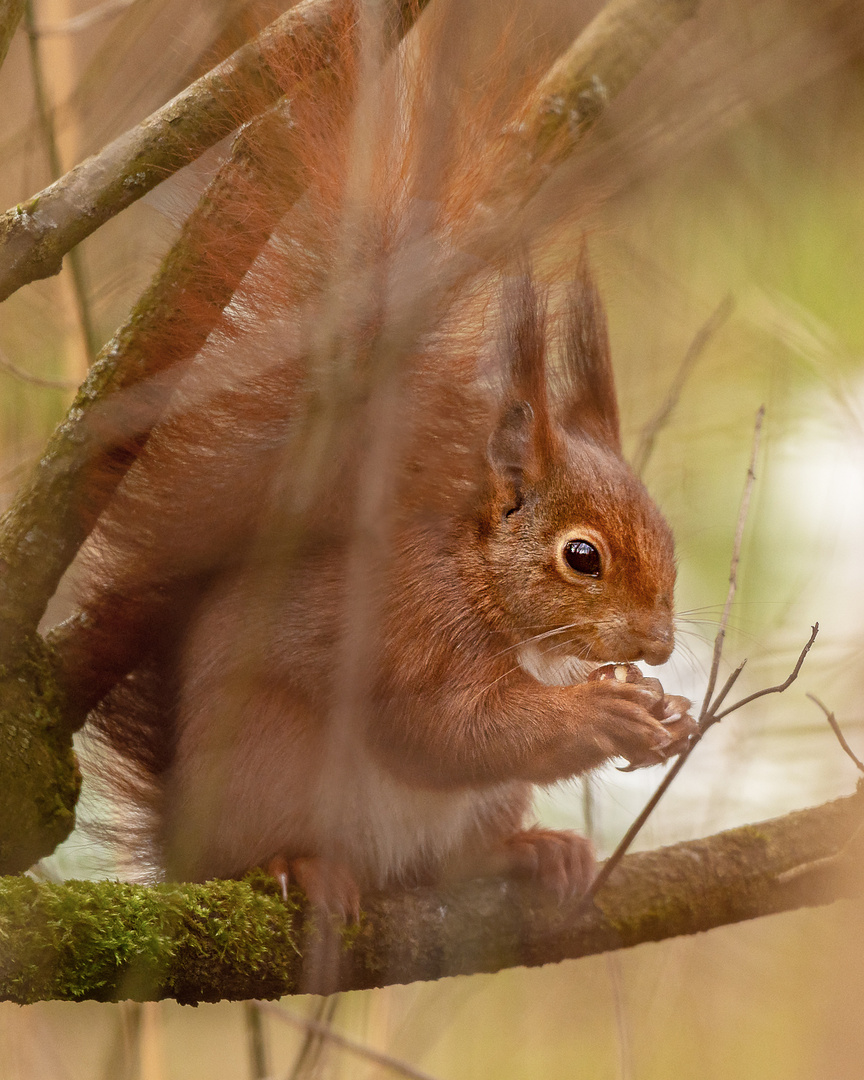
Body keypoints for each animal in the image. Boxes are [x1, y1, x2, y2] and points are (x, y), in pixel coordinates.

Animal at [54, 8, 699, 920]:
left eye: (667, 537)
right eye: (582, 557)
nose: (658, 644)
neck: (480, 583)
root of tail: (186, 851)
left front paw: (667, 713)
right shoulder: (407, 631)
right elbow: (448, 730)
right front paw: (600, 714)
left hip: (465, 820)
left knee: (454, 861)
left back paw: (534, 851)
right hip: (273, 770)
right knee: (277, 849)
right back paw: (303, 867)